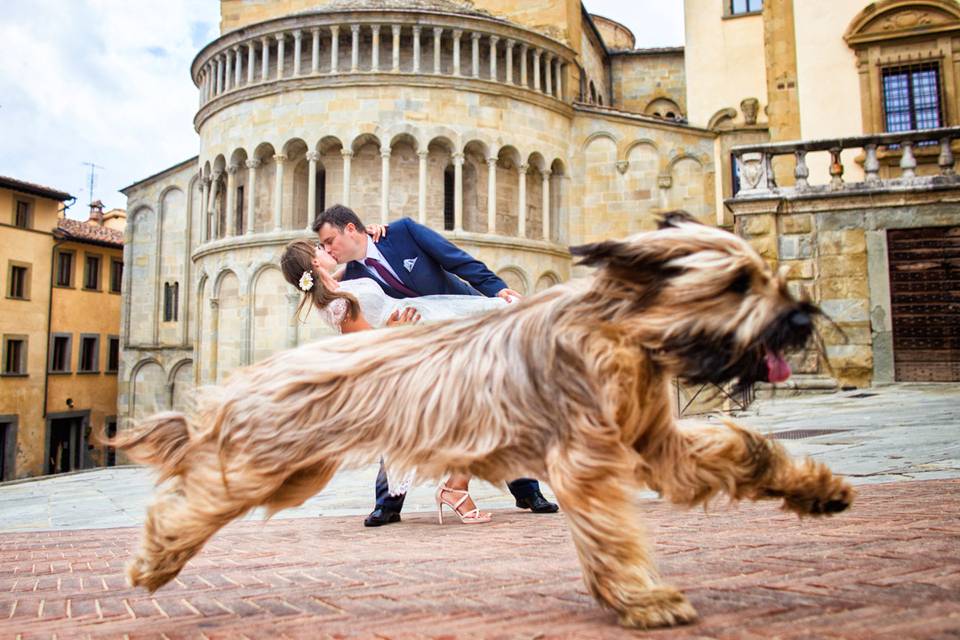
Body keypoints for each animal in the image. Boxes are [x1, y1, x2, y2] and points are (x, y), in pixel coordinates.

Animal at [112, 212, 856, 628]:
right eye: (736, 284)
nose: (801, 322)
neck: (620, 333)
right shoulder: (586, 460)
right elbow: (611, 534)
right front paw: (642, 599)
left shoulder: (658, 445)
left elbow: (745, 451)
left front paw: (818, 489)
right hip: (275, 463)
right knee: (195, 497)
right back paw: (153, 560)